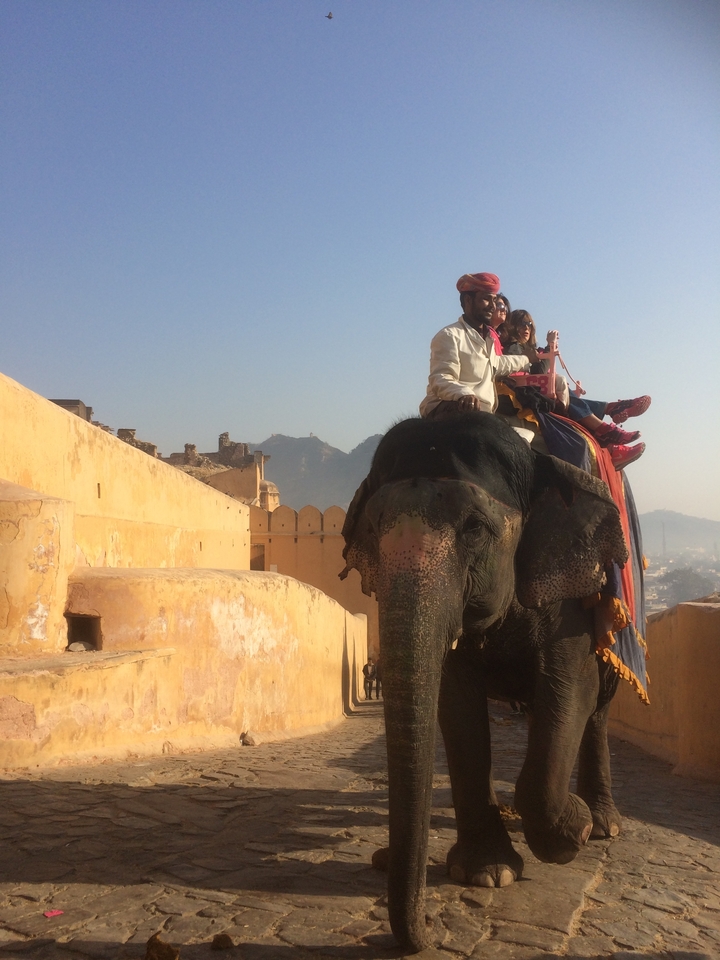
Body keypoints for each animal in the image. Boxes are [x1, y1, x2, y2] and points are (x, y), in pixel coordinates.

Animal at [341, 411, 631, 953]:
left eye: (475, 528)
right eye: (372, 530)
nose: (424, 935)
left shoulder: (569, 598)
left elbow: (570, 686)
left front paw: (575, 830)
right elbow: (456, 709)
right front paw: (488, 872)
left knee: (596, 710)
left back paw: (604, 823)